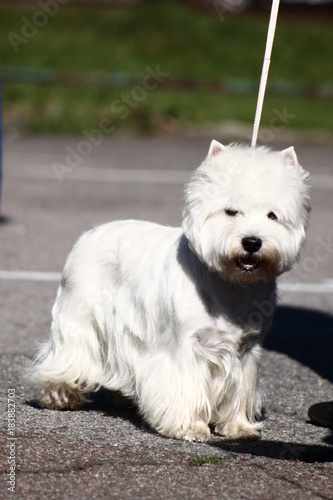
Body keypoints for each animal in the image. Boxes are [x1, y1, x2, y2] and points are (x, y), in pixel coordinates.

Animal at [29, 141, 310, 442]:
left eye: (273, 215)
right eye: (231, 211)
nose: (252, 242)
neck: (231, 284)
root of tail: (90, 234)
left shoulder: (246, 351)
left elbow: (238, 391)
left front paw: (239, 427)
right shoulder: (185, 347)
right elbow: (184, 388)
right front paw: (190, 428)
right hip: (79, 315)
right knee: (68, 356)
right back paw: (60, 396)